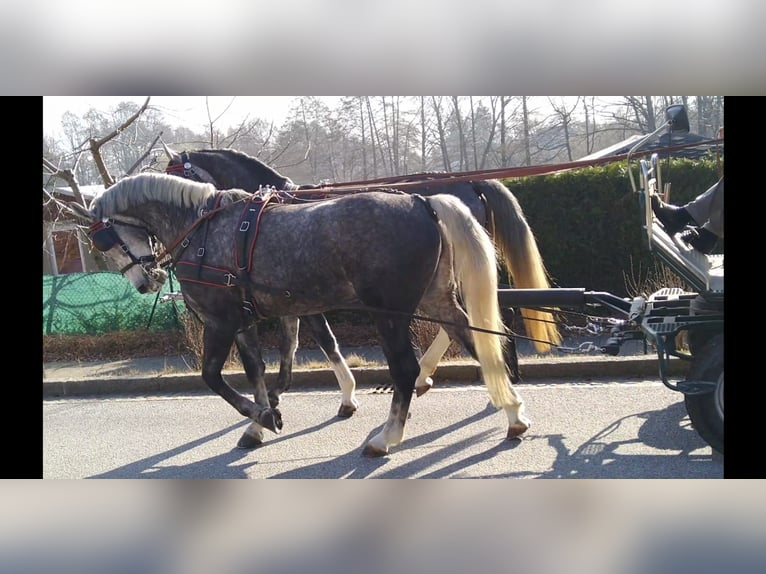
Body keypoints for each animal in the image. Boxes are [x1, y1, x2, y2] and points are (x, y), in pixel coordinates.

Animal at [69, 172, 532, 460]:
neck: (203, 231)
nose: (145, 281)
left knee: (405, 370)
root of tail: (423, 200)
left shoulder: (220, 321)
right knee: (477, 344)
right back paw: (513, 414)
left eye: (101, 241)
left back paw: (386, 438)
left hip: (390, 313)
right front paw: (260, 422)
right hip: (437, 300)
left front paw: (263, 417)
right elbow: (258, 372)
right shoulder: (247, 321)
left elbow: (214, 377)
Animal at [164, 145, 564, 414]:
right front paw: (279, 394)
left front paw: (345, 395)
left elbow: (322, 340)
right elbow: (293, 342)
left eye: (177, 173)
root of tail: (473, 184)